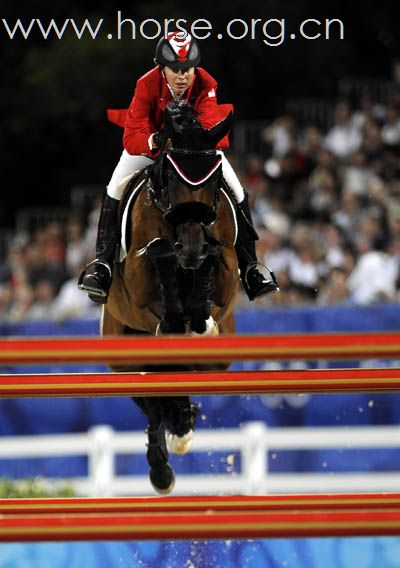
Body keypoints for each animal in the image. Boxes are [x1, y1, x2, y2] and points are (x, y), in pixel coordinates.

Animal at [99, 101, 239, 492]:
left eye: (213, 181)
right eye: (175, 178)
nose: (190, 250)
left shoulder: (227, 276)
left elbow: (216, 257)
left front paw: (199, 313)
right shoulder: (138, 285)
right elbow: (158, 255)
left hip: (217, 362)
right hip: (123, 354)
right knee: (152, 399)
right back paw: (164, 461)